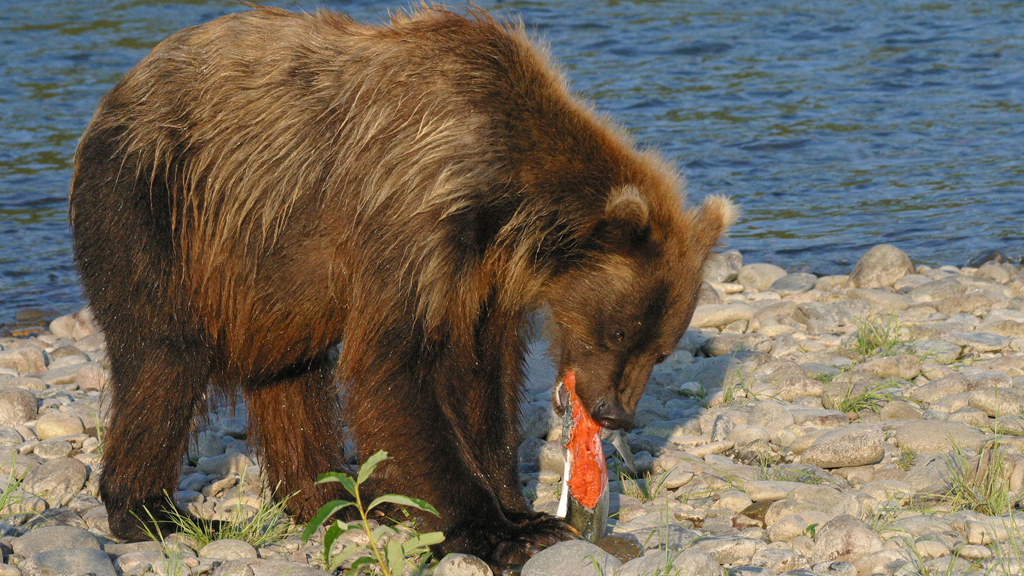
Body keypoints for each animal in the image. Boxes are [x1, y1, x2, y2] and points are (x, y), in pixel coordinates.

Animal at [70, 3, 737, 565]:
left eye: (659, 350)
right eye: (619, 330)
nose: (613, 413)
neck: (506, 198)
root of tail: (121, 87)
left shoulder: (483, 279)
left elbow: (482, 378)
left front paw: (519, 508)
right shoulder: (413, 217)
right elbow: (396, 369)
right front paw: (497, 529)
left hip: (270, 272)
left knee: (289, 376)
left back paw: (334, 500)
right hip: (151, 203)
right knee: (164, 356)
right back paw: (155, 513)